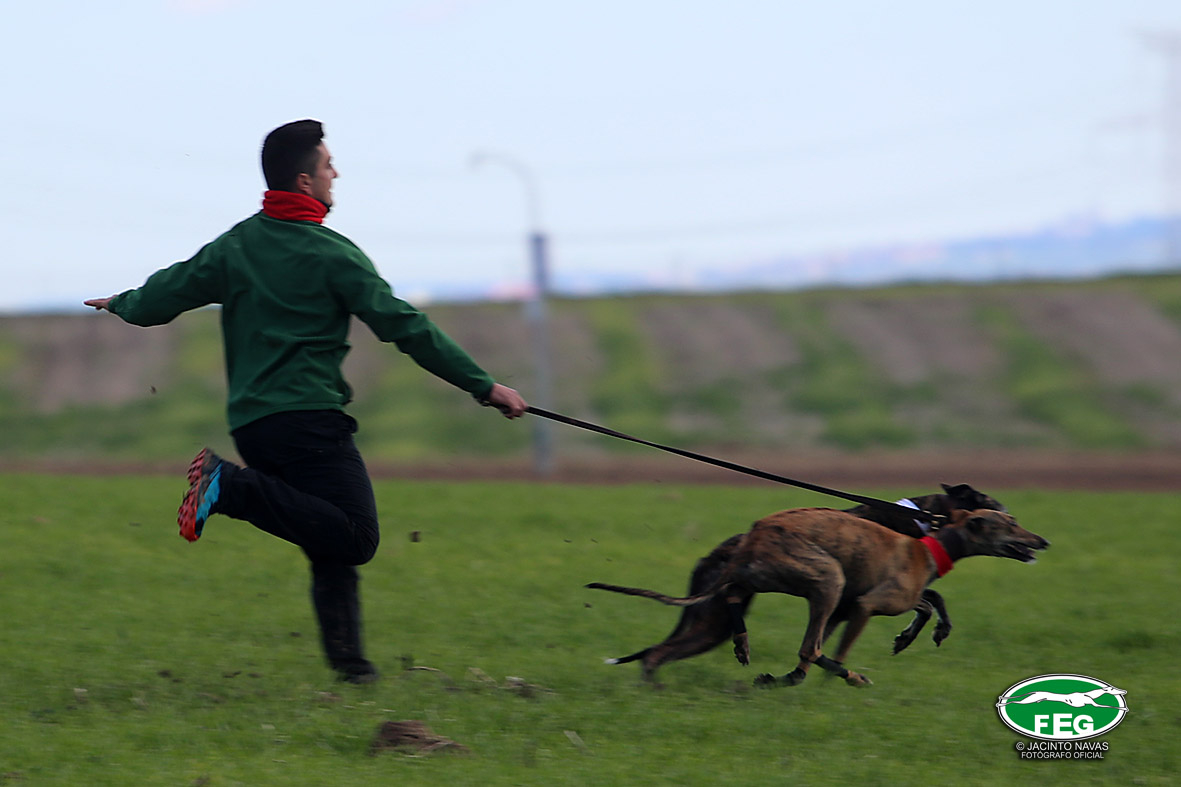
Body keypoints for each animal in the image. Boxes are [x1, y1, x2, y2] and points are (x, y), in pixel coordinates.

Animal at [590, 505, 1047, 687]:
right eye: (1009, 523)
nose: (1042, 541)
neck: (927, 547)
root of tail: (751, 538)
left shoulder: (870, 601)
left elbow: (928, 601)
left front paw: (916, 634)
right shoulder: (863, 605)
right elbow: (832, 651)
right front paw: (836, 677)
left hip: (730, 606)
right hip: (827, 579)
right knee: (809, 648)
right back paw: (841, 676)